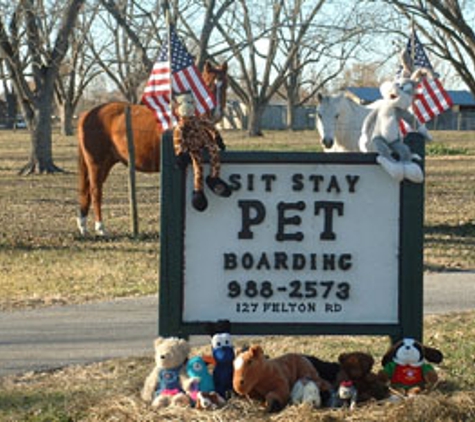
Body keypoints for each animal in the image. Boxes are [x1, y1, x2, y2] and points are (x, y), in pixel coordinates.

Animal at [76, 61, 229, 236]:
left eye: (225, 85)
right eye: (209, 84)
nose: (217, 113)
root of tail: (87, 114)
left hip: (105, 164)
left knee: (87, 191)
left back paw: (83, 226)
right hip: (96, 163)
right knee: (95, 191)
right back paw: (100, 228)